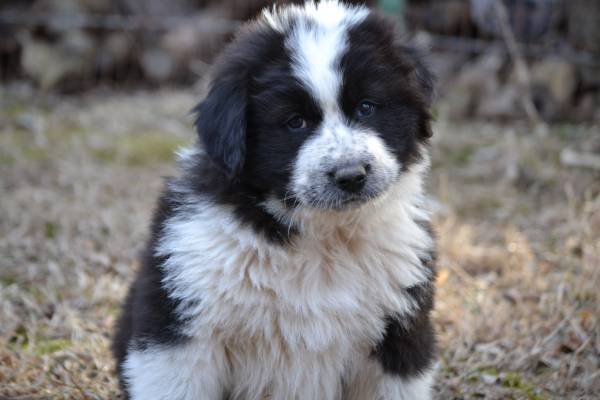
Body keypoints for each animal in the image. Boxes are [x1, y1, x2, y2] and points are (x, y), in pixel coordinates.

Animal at [113, 1, 436, 398]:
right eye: (295, 122)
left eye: (366, 107)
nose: (351, 176)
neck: (324, 238)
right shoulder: (180, 333)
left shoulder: (399, 334)